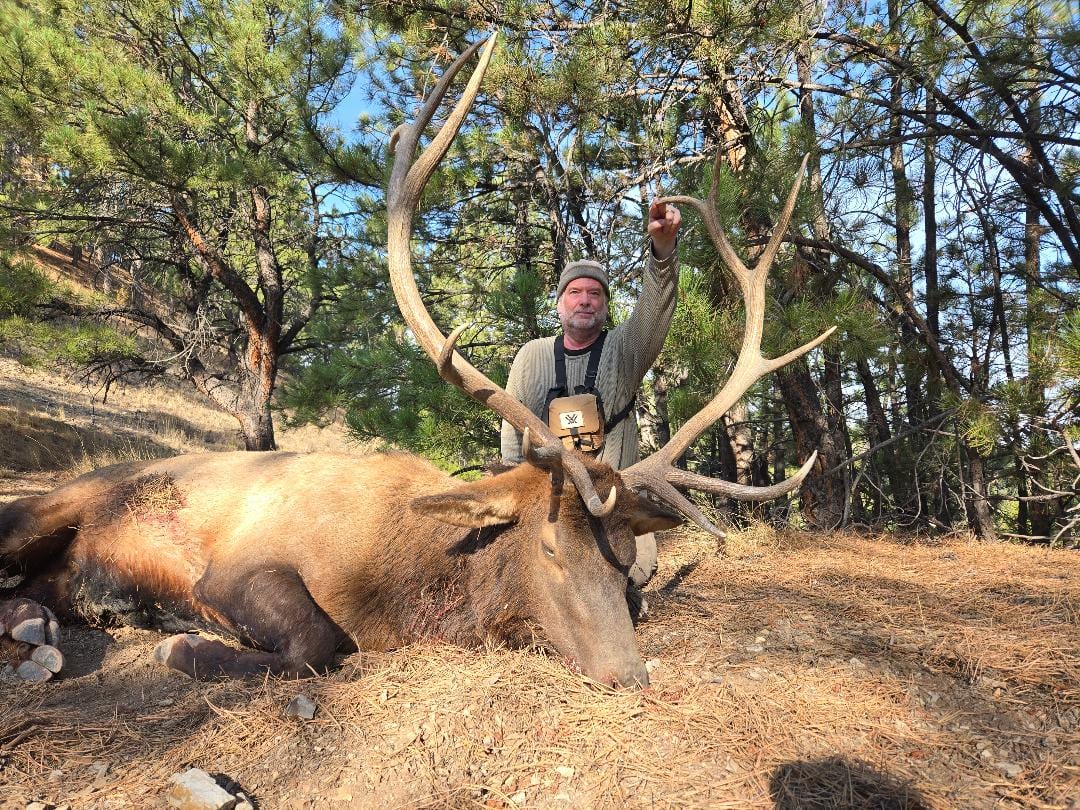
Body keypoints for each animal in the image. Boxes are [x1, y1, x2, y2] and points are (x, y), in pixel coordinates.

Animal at [0, 34, 833, 689]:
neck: (399, 578)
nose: (628, 674)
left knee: (32, 590)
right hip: (49, 504)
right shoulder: (240, 562)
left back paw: (41, 625)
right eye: (550, 549)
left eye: (627, 558)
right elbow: (318, 641)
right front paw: (179, 645)